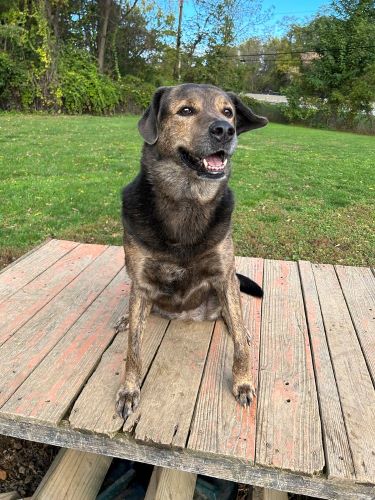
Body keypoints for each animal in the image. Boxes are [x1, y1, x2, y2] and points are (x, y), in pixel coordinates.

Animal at [116, 85, 268, 418]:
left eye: (228, 112)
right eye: (186, 110)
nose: (225, 131)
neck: (188, 200)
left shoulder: (224, 276)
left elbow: (240, 347)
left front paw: (242, 381)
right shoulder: (141, 283)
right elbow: (133, 349)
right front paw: (129, 389)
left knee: (234, 315)